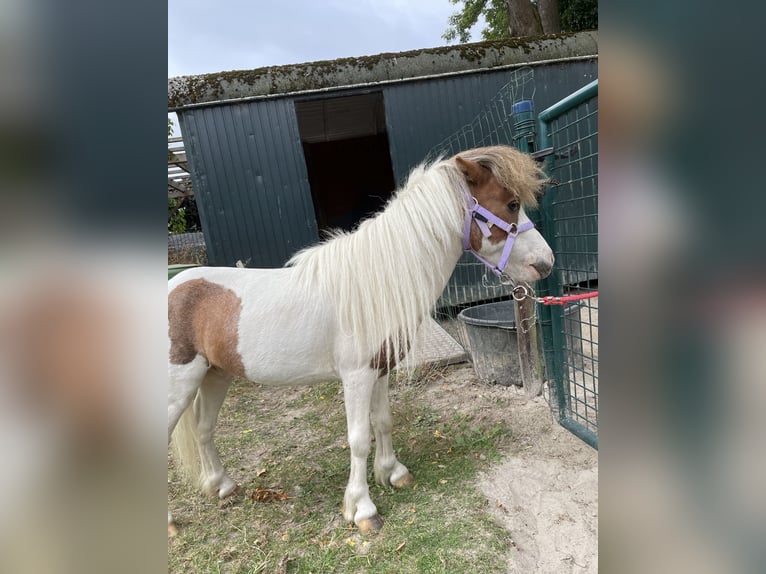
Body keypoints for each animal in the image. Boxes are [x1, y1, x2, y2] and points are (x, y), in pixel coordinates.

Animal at [167, 145, 554, 536]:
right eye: (511, 203)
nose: (546, 263)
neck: (375, 281)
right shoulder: (356, 377)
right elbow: (358, 439)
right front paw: (363, 509)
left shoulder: (379, 370)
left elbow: (382, 420)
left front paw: (393, 473)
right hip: (180, 387)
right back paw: (171, 523)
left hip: (215, 375)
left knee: (203, 428)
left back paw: (222, 486)